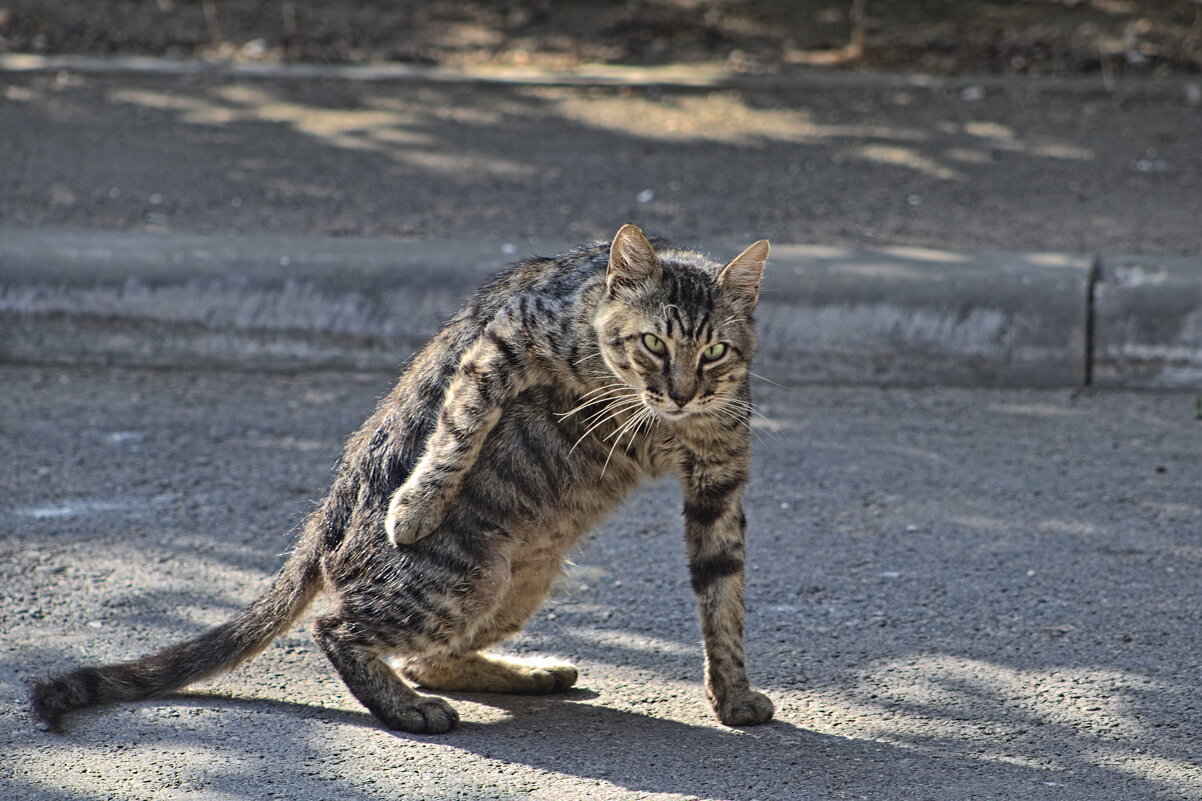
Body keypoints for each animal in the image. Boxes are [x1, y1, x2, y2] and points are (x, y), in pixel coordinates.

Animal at [35, 222, 778, 731]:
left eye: (713, 351)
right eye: (653, 343)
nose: (680, 393)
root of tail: (329, 512)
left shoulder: (718, 484)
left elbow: (724, 599)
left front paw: (732, 693)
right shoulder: (508, 335)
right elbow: (458, 423)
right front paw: (416, 505)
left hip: (522, 576)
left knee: (426, 655)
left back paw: (528, 672)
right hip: (464, 578)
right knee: (335, 628)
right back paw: (408, 706)